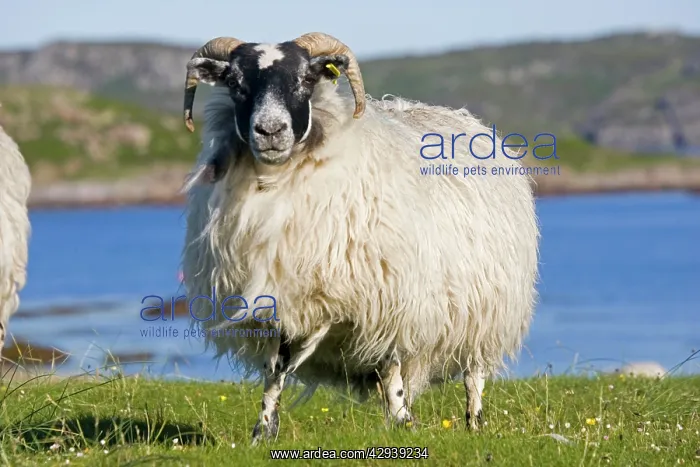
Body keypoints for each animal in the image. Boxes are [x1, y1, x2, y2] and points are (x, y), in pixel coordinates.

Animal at [180, 32, 540, 444]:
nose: (270, 131)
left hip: (486, 311)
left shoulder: (390, 299)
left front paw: (403, 422)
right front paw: (263, 430)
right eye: (236, 83)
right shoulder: (283, 299)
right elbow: (276, 369)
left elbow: (391, 365)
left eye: (306, 79)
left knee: (473, 374)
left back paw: (474, 422)